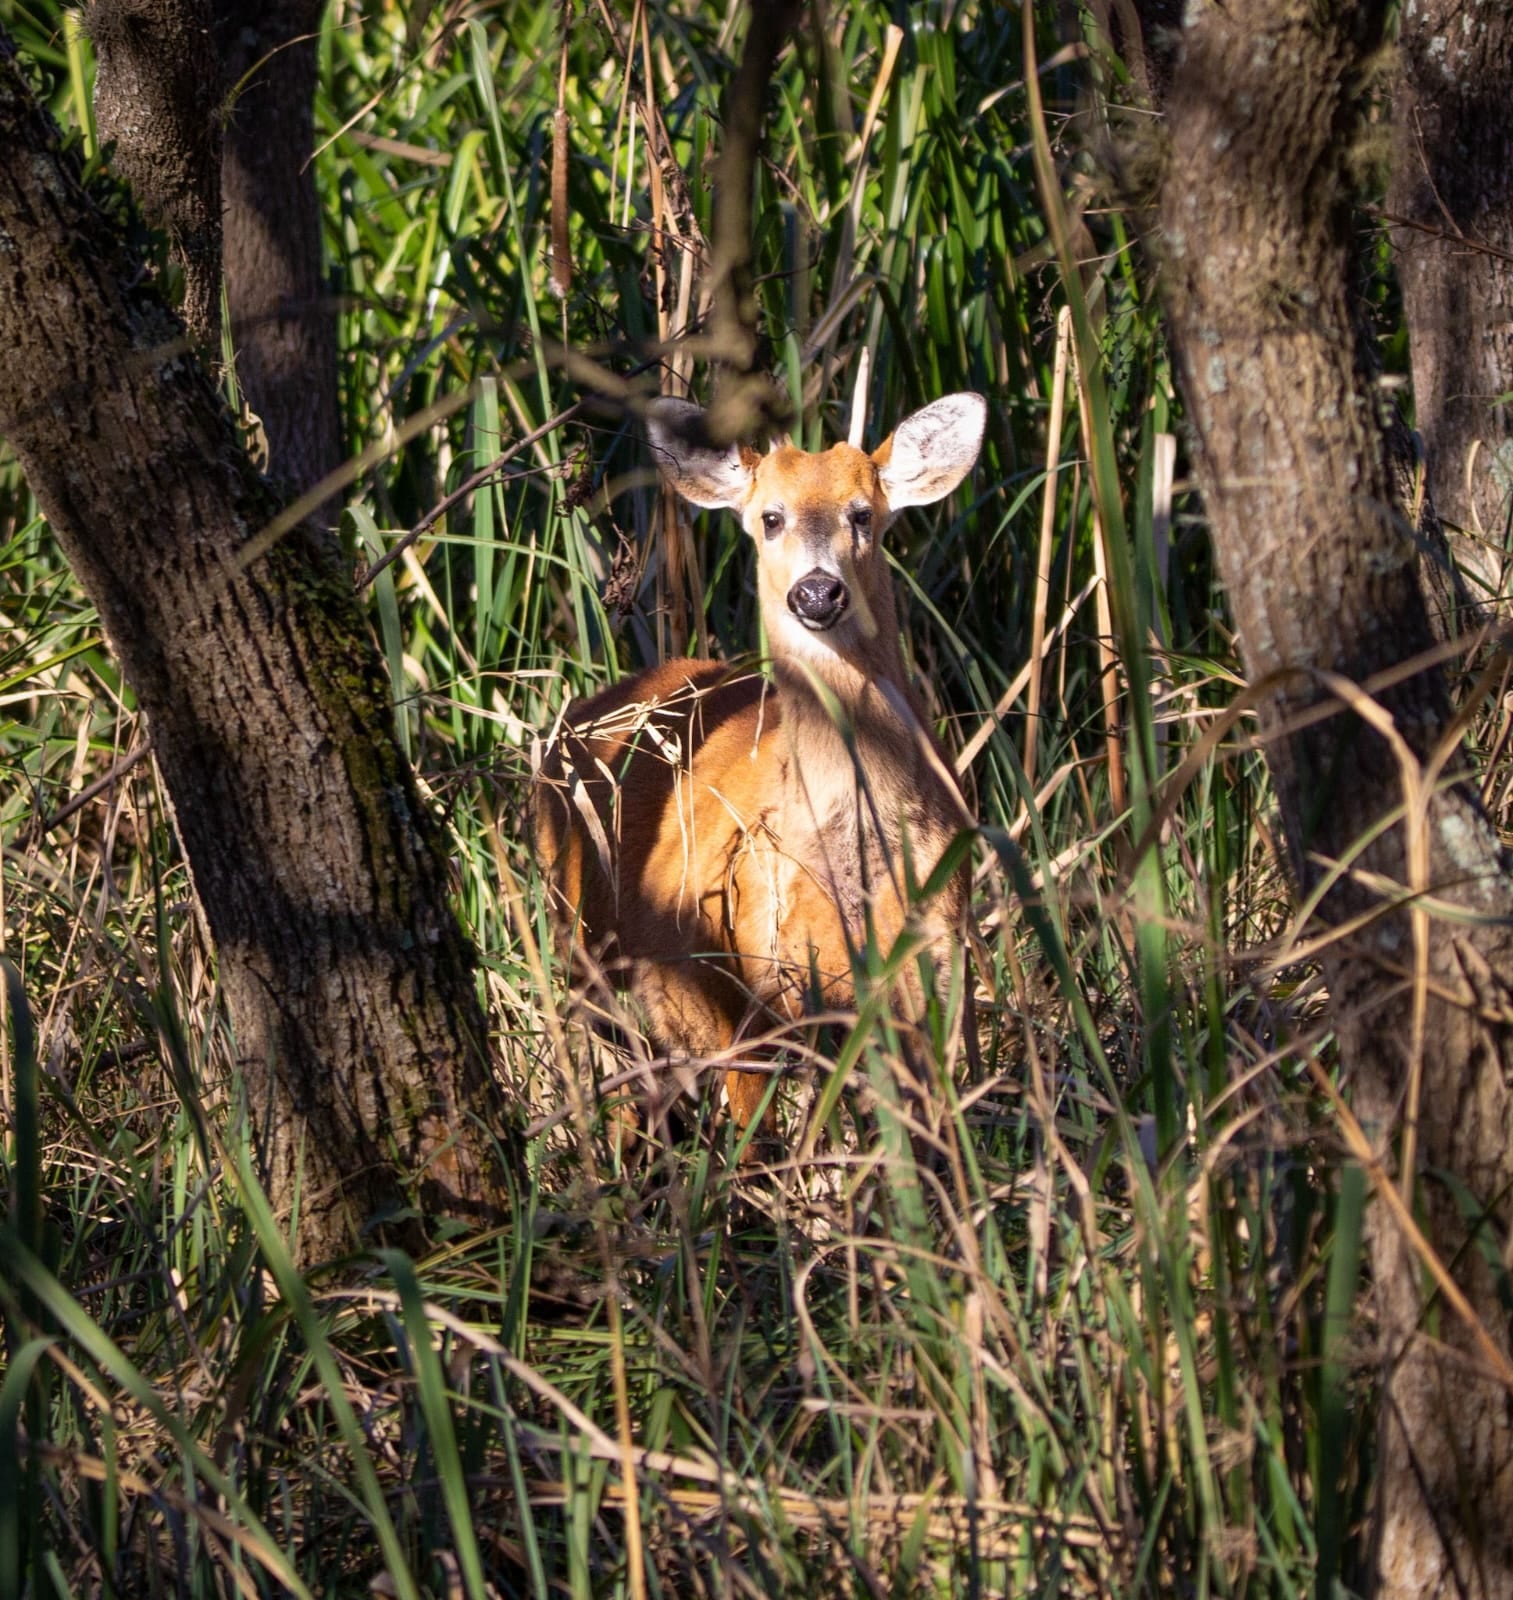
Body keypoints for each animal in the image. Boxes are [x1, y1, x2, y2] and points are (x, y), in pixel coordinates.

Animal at [534, 389, 986, 1148]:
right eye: (770, 518)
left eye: (863, 514)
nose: (817, 593)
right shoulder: (743, 976)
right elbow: (762, 1142)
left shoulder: (935, 953)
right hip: (585, 949)